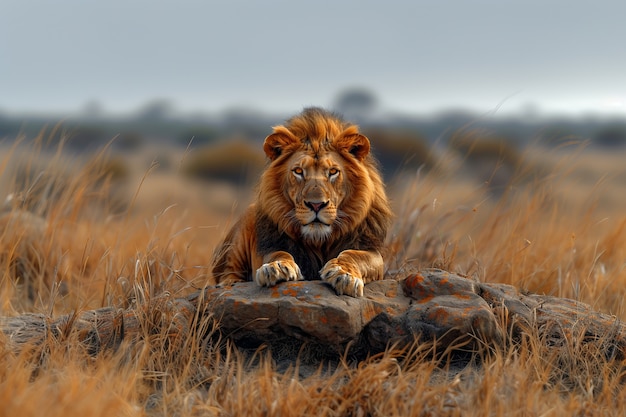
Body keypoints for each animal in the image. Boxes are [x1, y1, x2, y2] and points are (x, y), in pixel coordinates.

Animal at [210, 107, 390, 296]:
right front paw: (275, 268)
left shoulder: (371, 250)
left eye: (333, 171)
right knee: (227, 272)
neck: (319, 241)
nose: (316, 205)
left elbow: (353, 255)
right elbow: (279, 253)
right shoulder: (270, 246)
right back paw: (230, 284)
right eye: (298, 171)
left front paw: (343, 274)